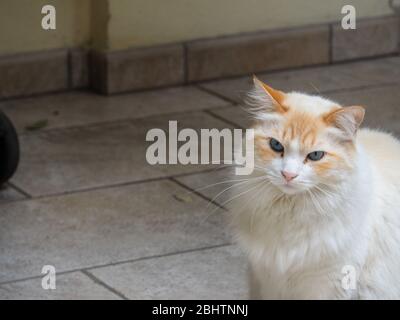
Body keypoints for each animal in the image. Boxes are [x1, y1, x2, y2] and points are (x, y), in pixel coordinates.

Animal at [230, 77, 400, 300]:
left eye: (316, 156)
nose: (288, 175)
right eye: (276, 146)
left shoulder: (327, 285)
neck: (290, 213)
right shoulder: (265, 280)